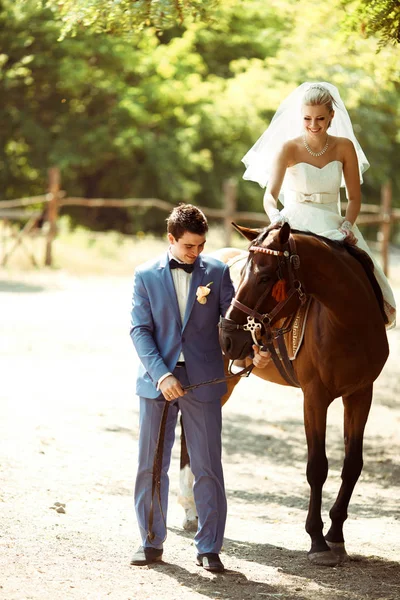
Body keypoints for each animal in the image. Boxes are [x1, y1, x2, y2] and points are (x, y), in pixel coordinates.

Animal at [217, 224, 390, 568]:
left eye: (265, 277)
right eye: (242, 273)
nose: (227, 336)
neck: (349, 323)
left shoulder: (361, 395)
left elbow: (353, 464)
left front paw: (336, 535)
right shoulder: (314, 398)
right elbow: (317, 467)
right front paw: (317, 540)